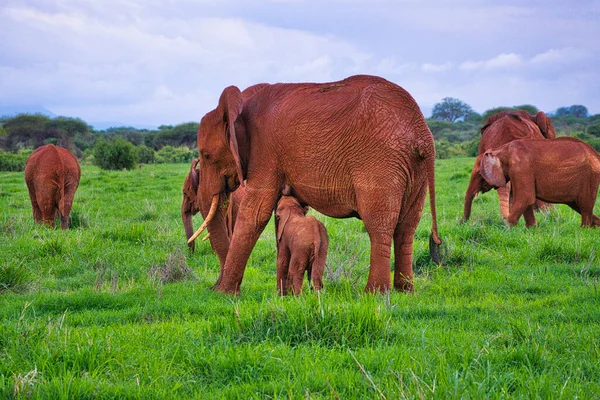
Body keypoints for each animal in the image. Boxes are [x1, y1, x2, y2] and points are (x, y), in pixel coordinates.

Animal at [190, 75, 442, 294]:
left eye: (206, 155)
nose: (212, 287)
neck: (239, 102)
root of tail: (421, 134)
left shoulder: (265, 152)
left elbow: (255, 214)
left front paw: (225, 295)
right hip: (414, 170)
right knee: (406, 227)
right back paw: (405, 292)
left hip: (380, 162)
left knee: (379, 225)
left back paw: (375, 295)